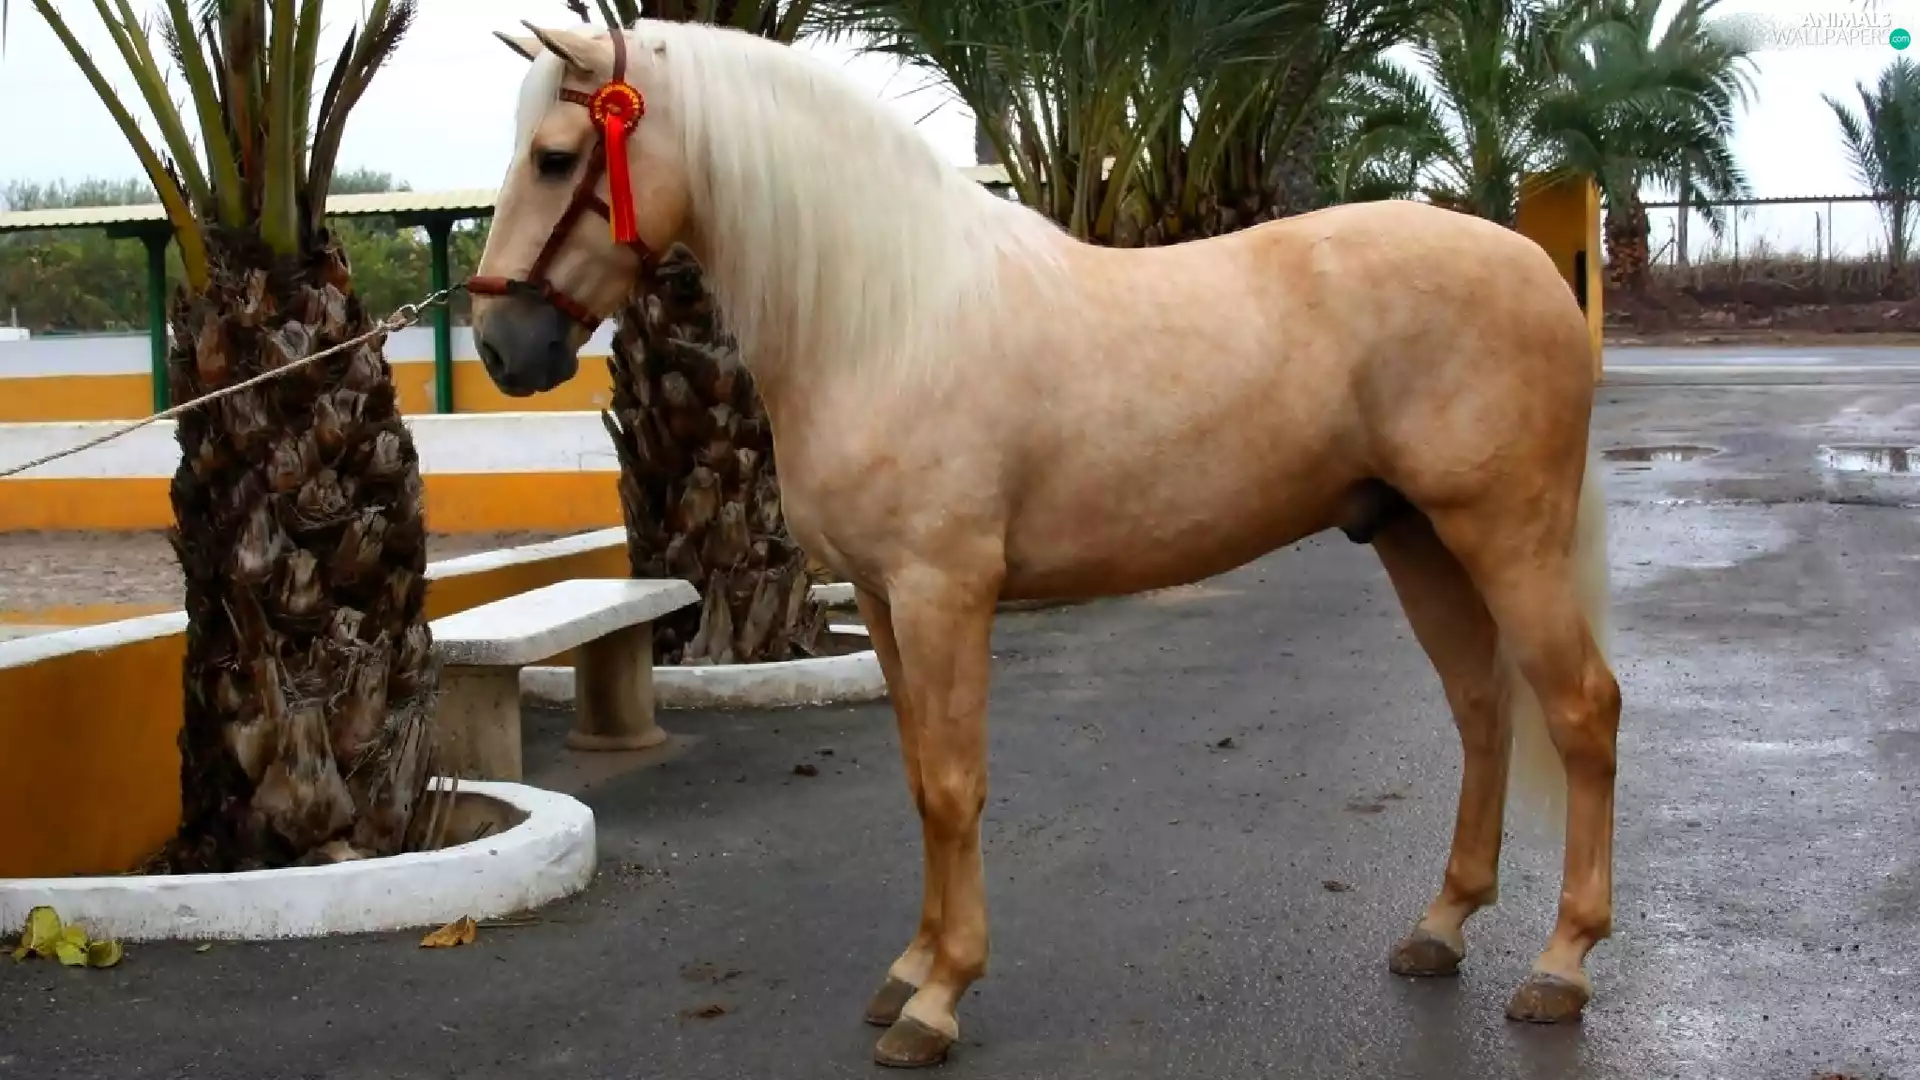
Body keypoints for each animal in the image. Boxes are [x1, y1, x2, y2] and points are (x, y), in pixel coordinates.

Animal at [469, 18, 1621, 1069]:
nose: (501, 346)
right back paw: (1440, 927)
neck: (892, 317)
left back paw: (1560, 966)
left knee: (1578, 710)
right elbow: (915, 778)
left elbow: (953, 785)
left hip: (1503, 535)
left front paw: (941, 999)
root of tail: (1535, 266)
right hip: (1413, 537)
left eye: (556, 156)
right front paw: (910, 968)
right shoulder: (881, 600)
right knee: (1481, 708)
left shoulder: (943, 592)